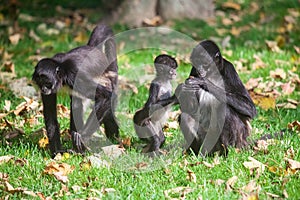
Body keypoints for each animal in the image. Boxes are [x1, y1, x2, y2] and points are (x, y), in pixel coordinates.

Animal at [31, 24, 118, 157]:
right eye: (40, 83)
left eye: (47, 83)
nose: (44, 89)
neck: (62, 67)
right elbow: (51, 116)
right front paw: (57, 153)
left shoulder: (75, 75)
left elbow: (105, 96)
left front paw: (82, 138)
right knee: (76, 103)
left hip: (107, 77)